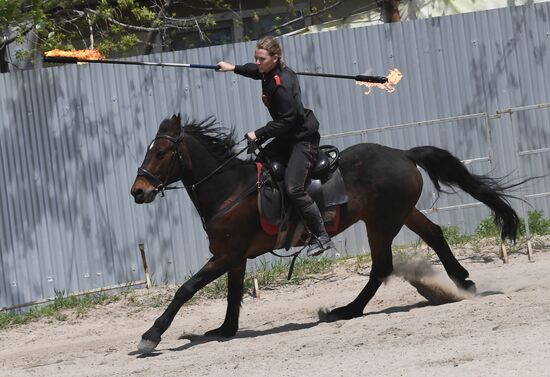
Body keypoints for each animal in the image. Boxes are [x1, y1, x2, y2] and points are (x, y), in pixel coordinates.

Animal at [129, 114, 520, 352]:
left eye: (161, 151)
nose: (137, 191)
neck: (229, 189)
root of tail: (403, 154)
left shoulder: (225, 255)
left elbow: (185, 289)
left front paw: (151, 335)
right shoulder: (234, 258)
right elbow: (234, 294)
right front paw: (224, 330)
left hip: (381, 223)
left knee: (381, 266)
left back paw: (347, 310)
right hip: (400, 213)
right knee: (434, 234)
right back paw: (462, 282)